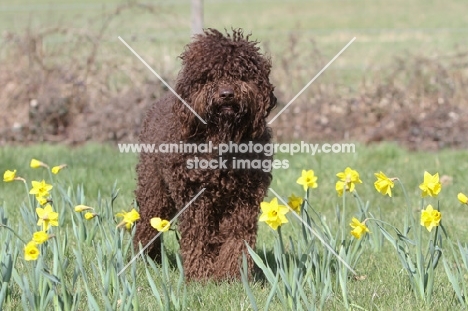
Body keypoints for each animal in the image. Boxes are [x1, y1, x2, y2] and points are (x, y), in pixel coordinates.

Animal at [133, 29, 276, 282]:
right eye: (209, 76)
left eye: (241, 74)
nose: (226, 94)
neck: (221, 141)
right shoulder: (196, 199)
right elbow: (198, 237)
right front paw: (201, 276)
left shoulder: (244, 200)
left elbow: (237, 238)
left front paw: (231, 276)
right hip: (154, 189)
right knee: (147, 223)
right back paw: (145, 259)